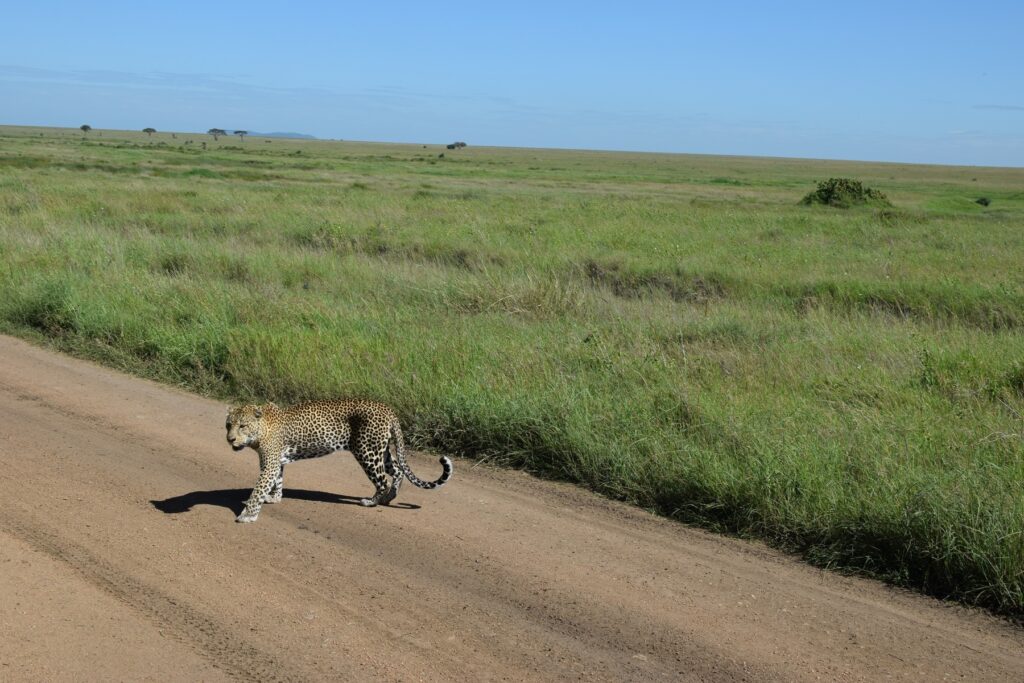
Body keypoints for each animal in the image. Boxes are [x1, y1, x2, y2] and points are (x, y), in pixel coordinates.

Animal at [225, 399, 452, 523]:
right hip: (381, 450)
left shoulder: (269, 464)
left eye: (243, 426)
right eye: (228, 425)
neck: (261, 429)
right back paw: (389, 498)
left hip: (366, 452)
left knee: (382, 480)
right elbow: (277, 481)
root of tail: (388, 409)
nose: (230, 439)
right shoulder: (275, 462)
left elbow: (258, 489)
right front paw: (275, 498)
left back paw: (372, 502)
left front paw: (248, 515)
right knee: (397, 471)